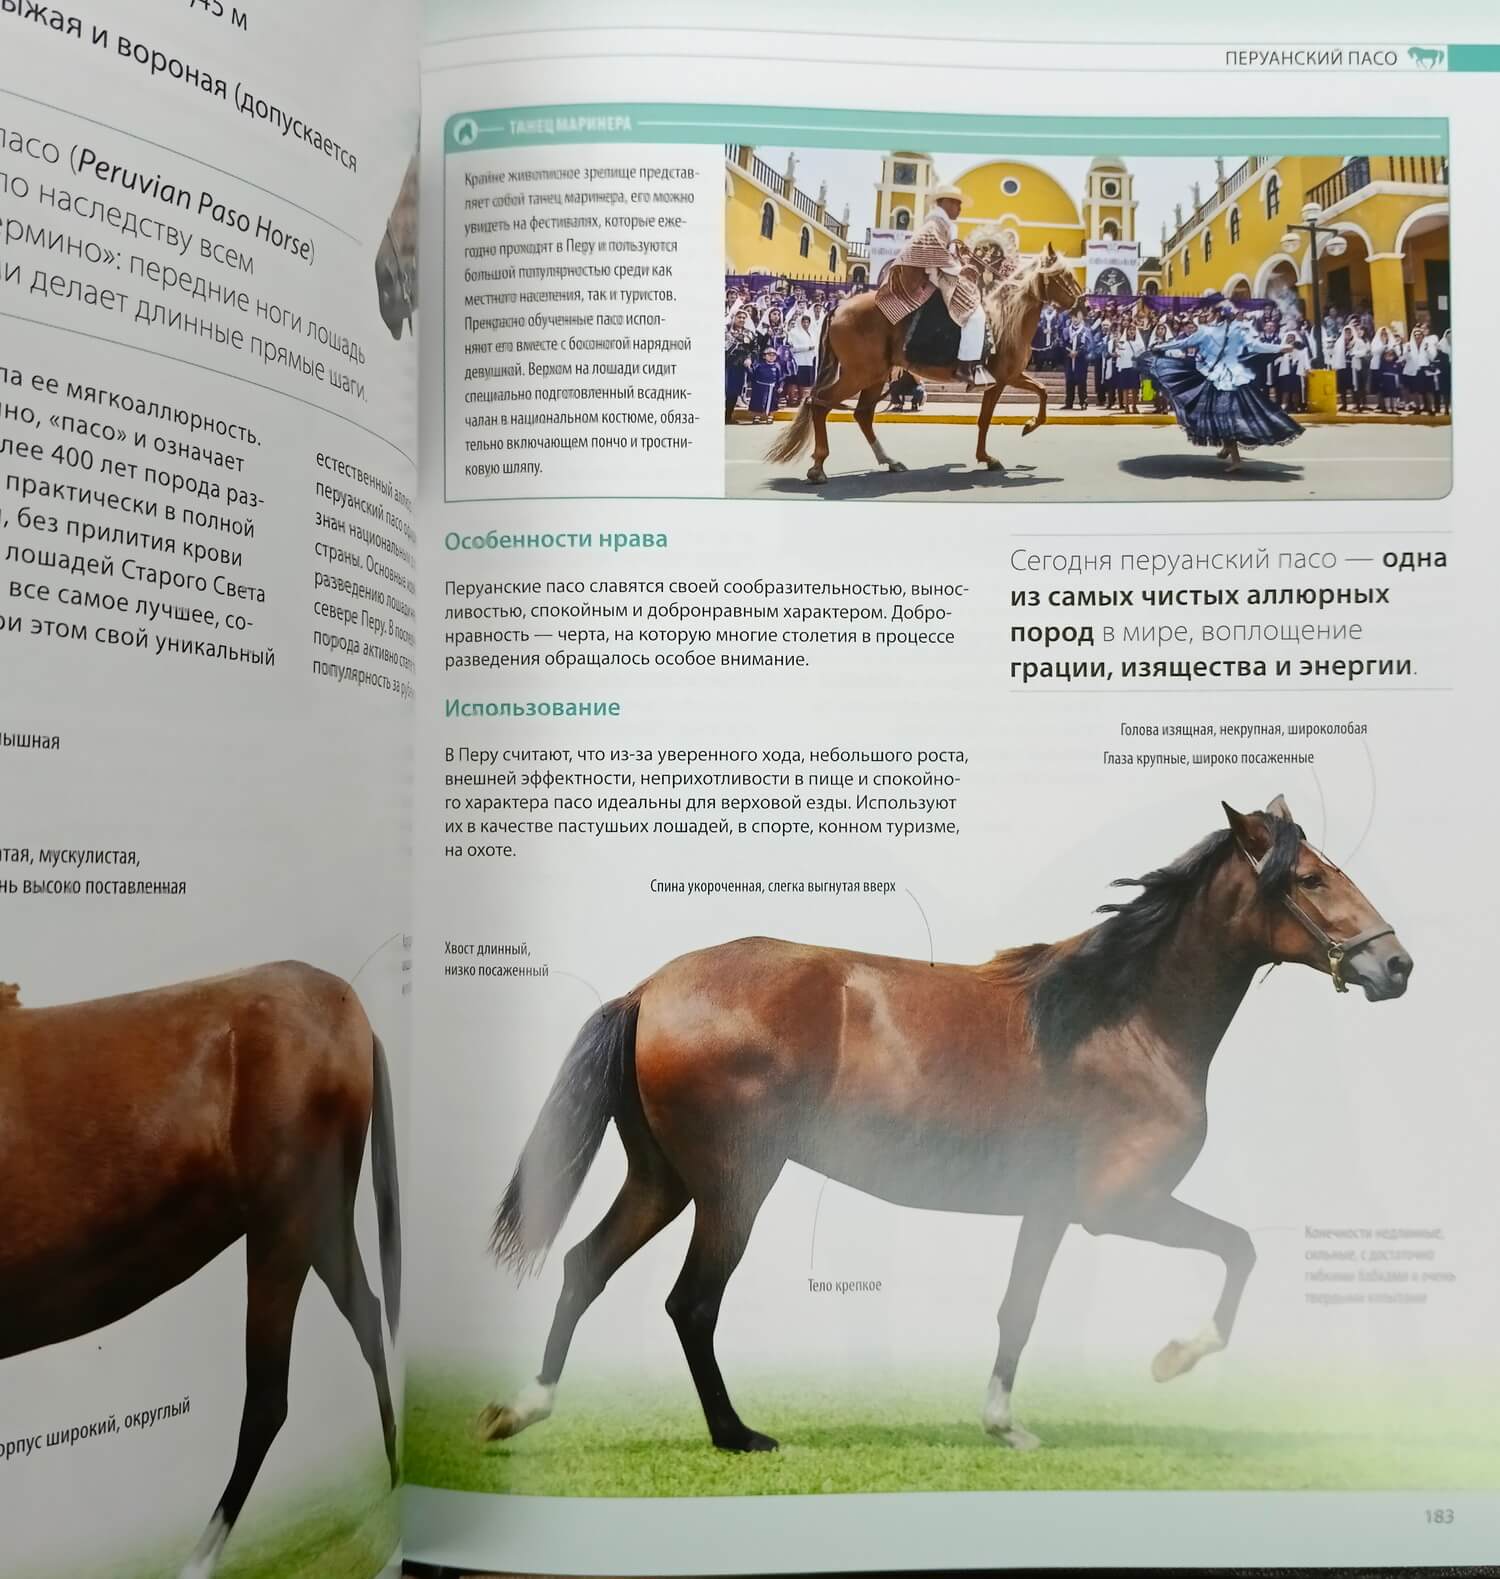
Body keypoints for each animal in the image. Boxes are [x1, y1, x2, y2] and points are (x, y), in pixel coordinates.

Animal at [0, 961, 402, 1578]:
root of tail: (347, 1003)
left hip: (285, 1224)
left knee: (267, 1400)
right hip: (319, 1223)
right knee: (367, 1317)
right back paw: (394, 1478)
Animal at [481, 797, 1411, 1455]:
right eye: (1309, 878)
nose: (1395, 964)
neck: (1118, 1019)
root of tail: (649, 989)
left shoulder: (1050, 1210)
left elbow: (1018, 1309)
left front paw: (1005, 1425)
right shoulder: (1120, 1207)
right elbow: (1239, 1248)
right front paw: (1174, 1357)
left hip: (664, 1179)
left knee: (585, 1266)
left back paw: (522, 1409)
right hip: (734, 1185)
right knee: (692, 1301)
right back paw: (737, 1435)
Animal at [766, 238, 1082, 484]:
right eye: (1063, 276)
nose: (1084, 305)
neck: (1006, 319)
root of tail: (839, 308)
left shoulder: (1008, 378)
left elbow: (1035, 394)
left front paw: (1009, 440)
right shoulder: (1004, 379)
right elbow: (995, 415)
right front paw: (1010, 440)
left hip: (875, 375)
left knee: (862, 414)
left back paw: (889, 461)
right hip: (858, 374)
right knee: (820, 404)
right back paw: (819, 467)